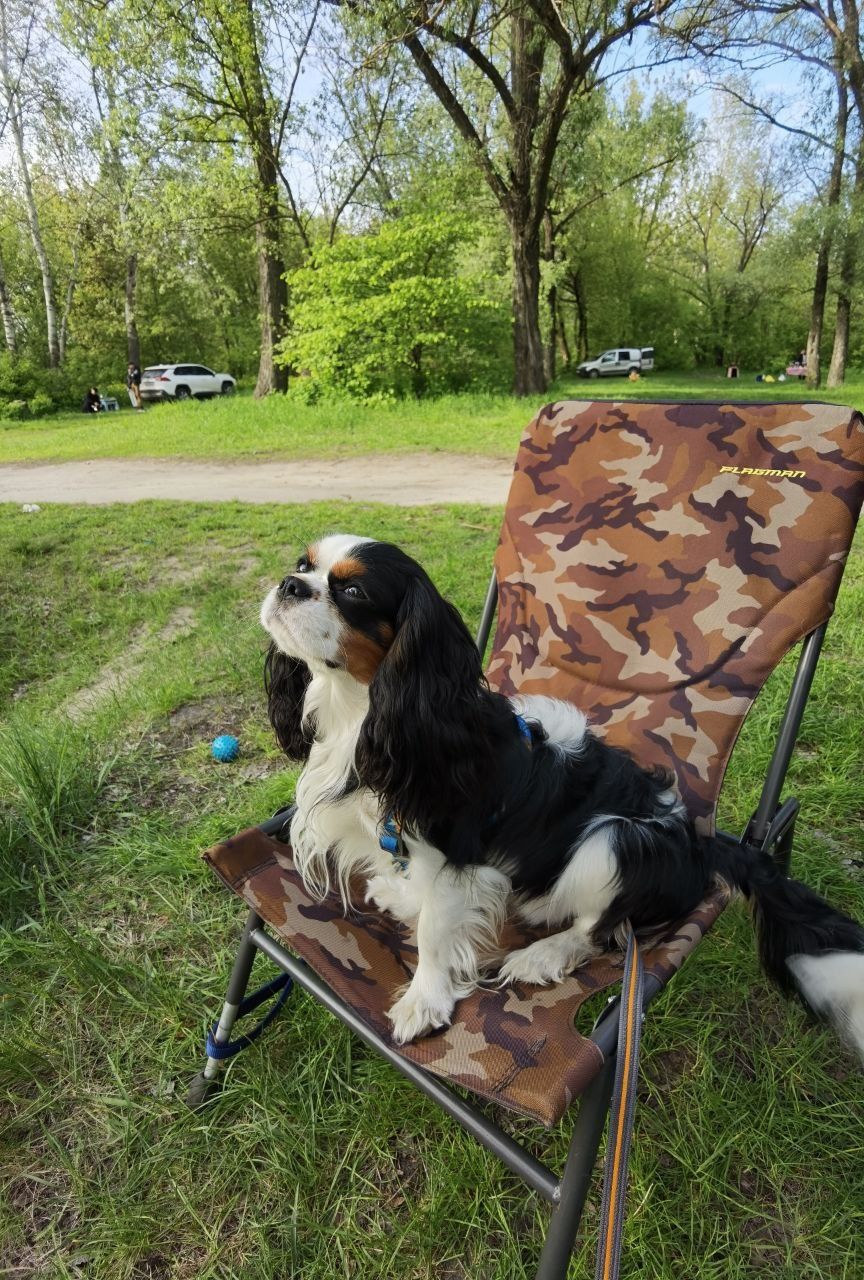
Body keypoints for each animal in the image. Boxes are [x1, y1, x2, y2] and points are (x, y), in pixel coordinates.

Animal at [259, 535, 864, 1054]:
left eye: (353, 592)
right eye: (303, 564)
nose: (289, 584)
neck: (363, 713)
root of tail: (702, 841)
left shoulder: (459, 853)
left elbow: (435, 928)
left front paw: (424, 1001)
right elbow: (419, 892)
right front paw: (400, 895)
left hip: (613, 840)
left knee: (600, 930)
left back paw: (541, 954)